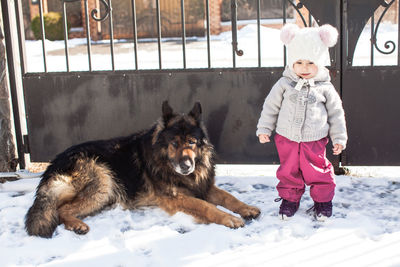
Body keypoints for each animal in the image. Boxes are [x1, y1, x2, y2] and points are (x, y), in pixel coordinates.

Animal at [26, 101, 260, 238]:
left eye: (192, 142)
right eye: (174, 143)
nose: (186, 166)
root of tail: (53, 164)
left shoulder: (203, 187)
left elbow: (229, 197)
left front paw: (246, 208)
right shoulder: (176, 198)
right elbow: (206, 206)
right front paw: (229, 218)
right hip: (103, 178)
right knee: (61, 209)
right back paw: (76, 225)